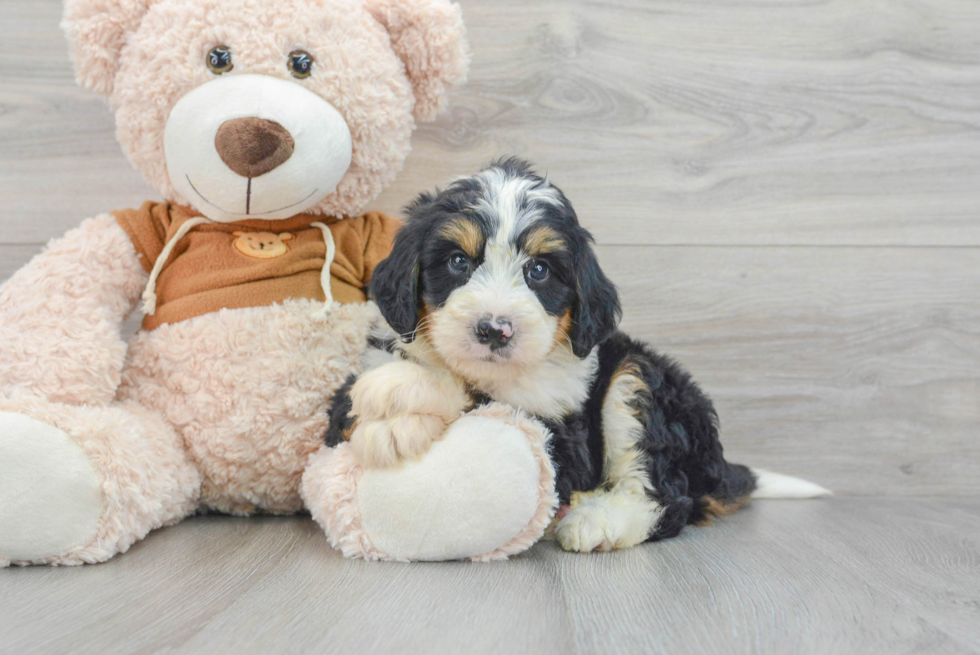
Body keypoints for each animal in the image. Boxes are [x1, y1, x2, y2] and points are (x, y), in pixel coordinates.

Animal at [328, 160, 828, 552]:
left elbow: (483, 399)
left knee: (669, 498)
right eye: (457, 262)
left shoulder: (565, 438)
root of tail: (719, 467)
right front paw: (396, 402)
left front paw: (397, 404)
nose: (494, 329)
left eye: (539, 270)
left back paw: (595, 519)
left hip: (639, 379)